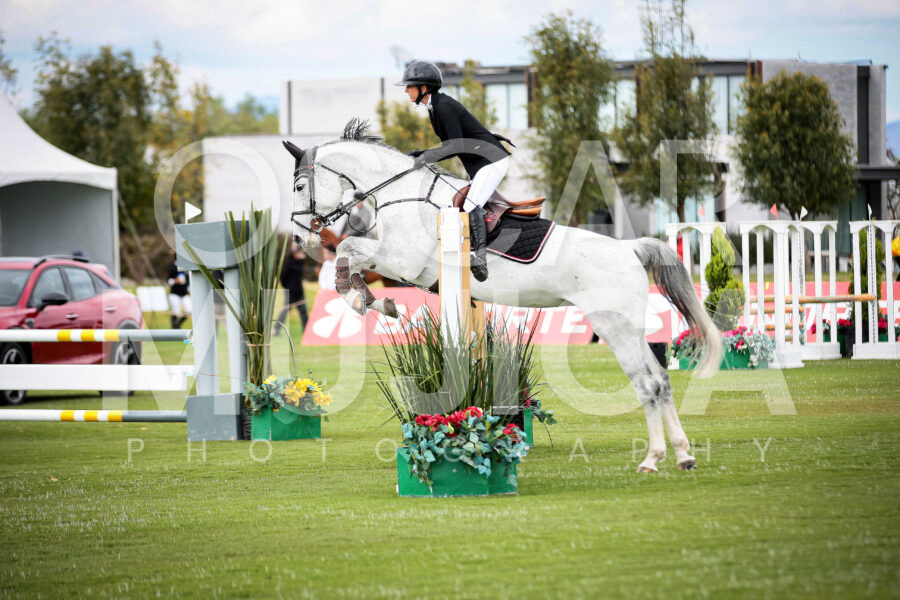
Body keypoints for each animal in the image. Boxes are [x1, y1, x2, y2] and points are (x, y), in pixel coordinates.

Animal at [283, 119, 721, 473]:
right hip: (628, 328)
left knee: (647, 383)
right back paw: (682, 455)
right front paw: (376, 301)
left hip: (614, 326)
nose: (300, 239)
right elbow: (352, 257)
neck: (403, 196)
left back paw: (652, 459)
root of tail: (629, 248)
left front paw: (360, 298)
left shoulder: (403, 262)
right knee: (661, 380)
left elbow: (347, 250)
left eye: (300, 186)